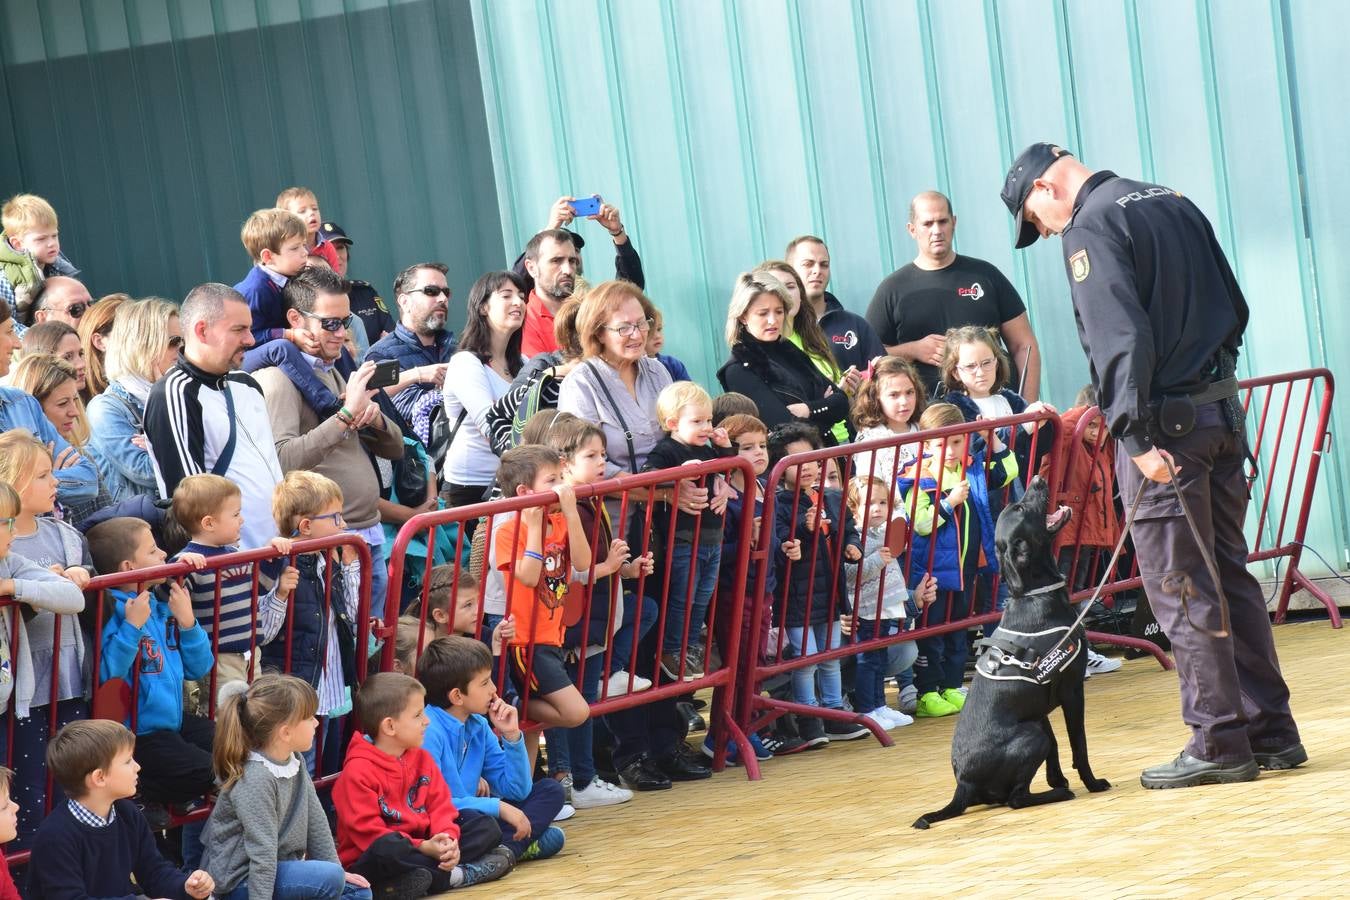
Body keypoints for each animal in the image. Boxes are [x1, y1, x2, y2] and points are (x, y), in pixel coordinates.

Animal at [912, 477, 1112, 831]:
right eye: (1020, 507)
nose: (1038, 479)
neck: (1034, 594)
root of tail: (963, 784)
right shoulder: (1073, 691)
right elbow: (1078, 744)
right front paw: (1090, 783)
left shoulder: (1038, 708)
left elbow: (1057, 747)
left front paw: (1058, 778)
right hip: (1030, 734)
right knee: (1016, 799)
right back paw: (1057, 795)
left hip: (1032, 727)